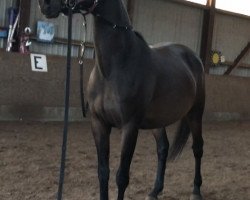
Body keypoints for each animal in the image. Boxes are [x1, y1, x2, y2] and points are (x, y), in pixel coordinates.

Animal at [37, 0, 205, 200]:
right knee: (163, 149)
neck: (114, 68)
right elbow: (103, 172)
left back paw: (196, 190)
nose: (45, 4)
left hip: (196, 113)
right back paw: (154, 191)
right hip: (158, 121)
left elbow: (122, 176)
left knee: (197, 148)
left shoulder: (130, 127)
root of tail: (193, 56)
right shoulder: (99, 123)